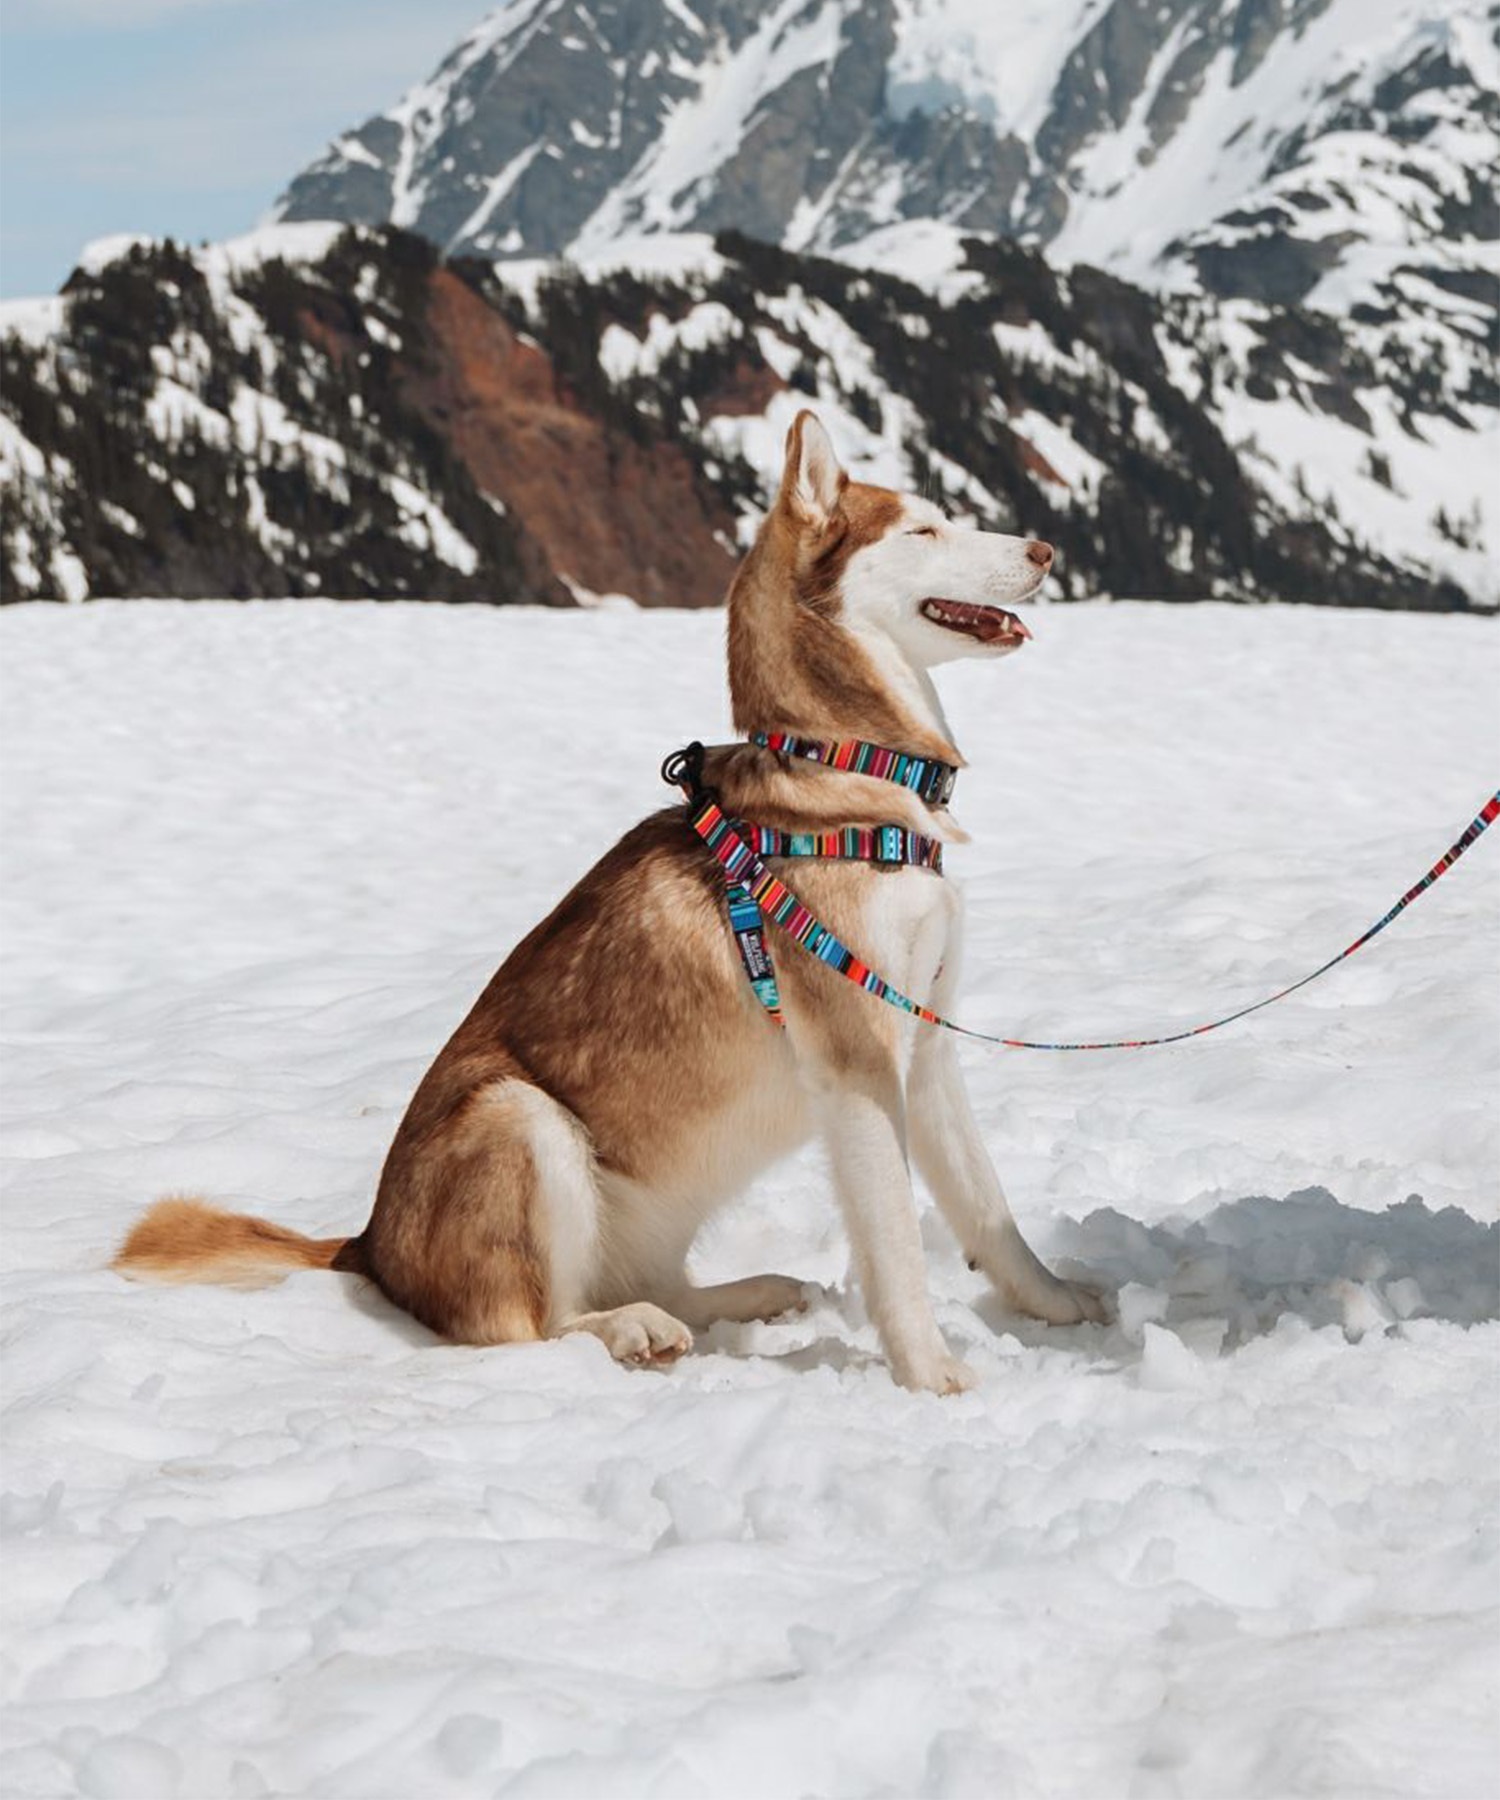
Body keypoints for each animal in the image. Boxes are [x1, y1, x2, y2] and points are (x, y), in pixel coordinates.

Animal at [114, 414, 1102, 1396]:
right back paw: (628, 1332)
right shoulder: (857, 1064)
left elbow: (988, 1207)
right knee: (528, 1327)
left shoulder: (924, 1049)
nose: (1046, 550)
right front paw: (932, 1376)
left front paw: (1062, 1309)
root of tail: (366, 1247)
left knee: (654, 1282)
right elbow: (895, 1246)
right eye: (924, 530)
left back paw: (745, 1296)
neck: (847, 770)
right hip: (520, 1119)